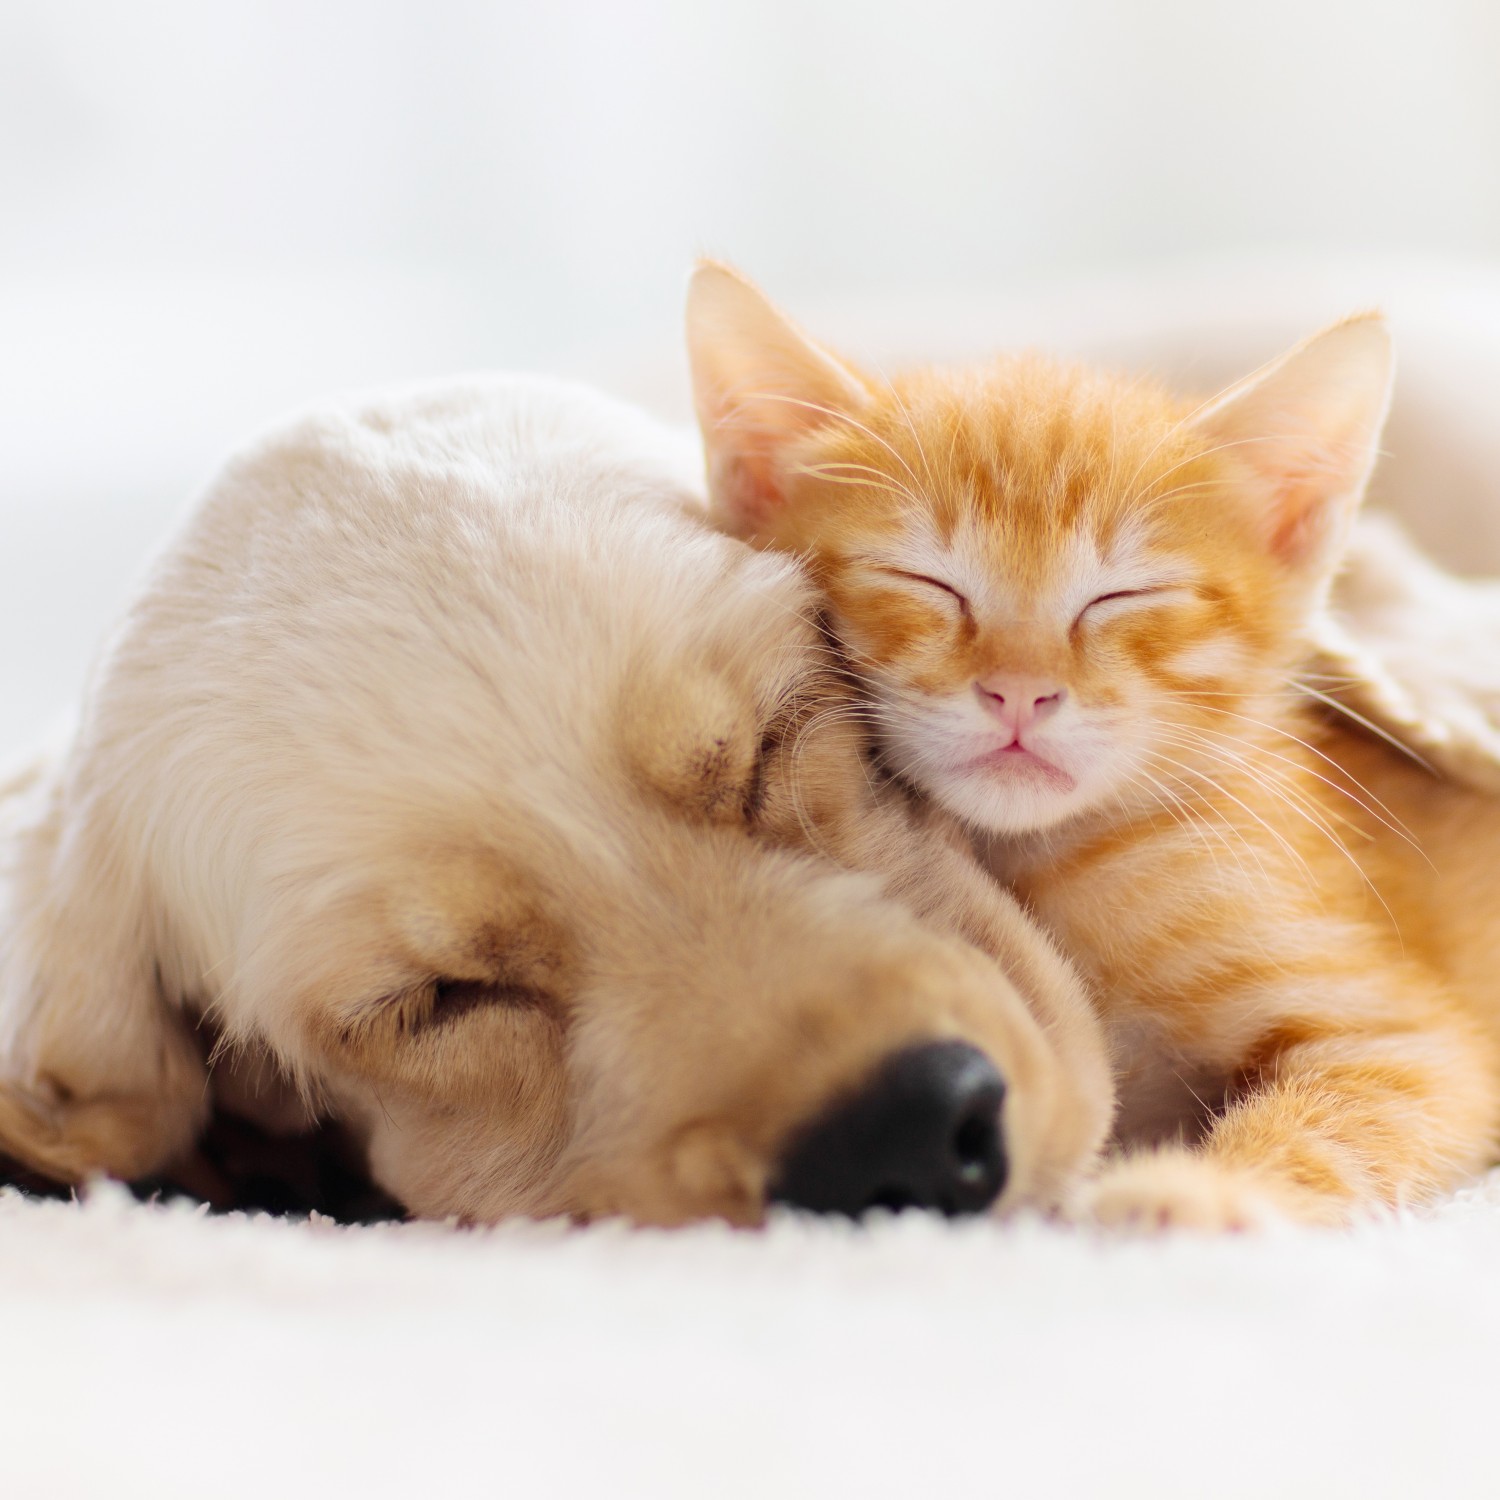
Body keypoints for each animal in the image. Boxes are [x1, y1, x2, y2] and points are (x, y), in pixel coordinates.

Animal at [687, 261, 1500, 1230]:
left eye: (1121, 596)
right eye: (926, 580)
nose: (1019, 691)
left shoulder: (1407, 1038)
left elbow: (1343, 1118)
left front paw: (1192, 1190)